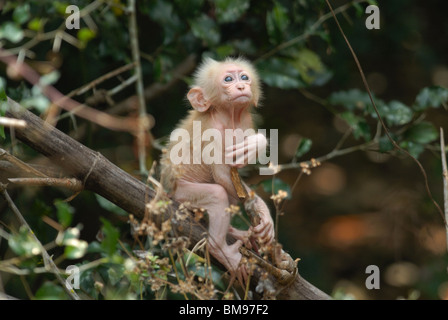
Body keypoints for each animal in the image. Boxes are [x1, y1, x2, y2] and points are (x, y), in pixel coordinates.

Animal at [161, 57, 272, 282]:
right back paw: (220, 250)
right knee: (217, 194)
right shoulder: (214, 132)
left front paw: (264, 216)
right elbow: (221, 176)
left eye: (244, 77)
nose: (241, 86)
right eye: (228, 79)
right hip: (180, 192)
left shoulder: (245, 121)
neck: (230, 117)